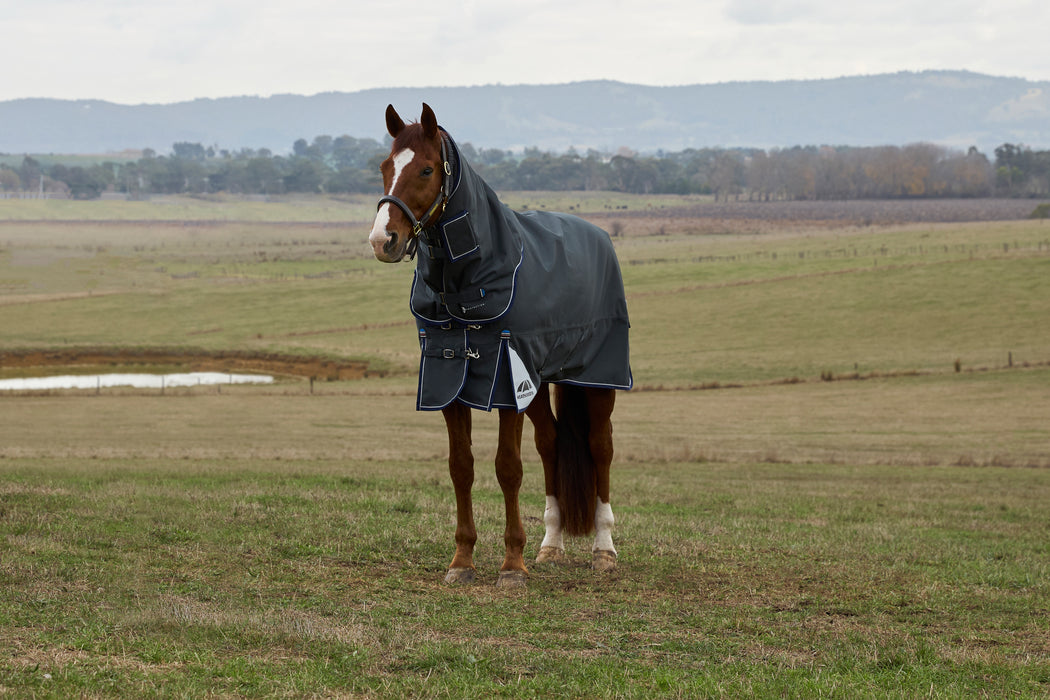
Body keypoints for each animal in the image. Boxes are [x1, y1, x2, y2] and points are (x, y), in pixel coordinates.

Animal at [368, 103, 632, 587]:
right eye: (384, 167)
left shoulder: (507, 381)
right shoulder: (449, 379)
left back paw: (604, 549)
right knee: (551, 444)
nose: (383, 240)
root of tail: (598, 236)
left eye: (427, 169)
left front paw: (512, 566)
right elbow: (461, 467)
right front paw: (462, 560)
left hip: (597, 377)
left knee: (601, 446)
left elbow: (508, 468)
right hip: (541, 382)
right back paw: (551, 545)